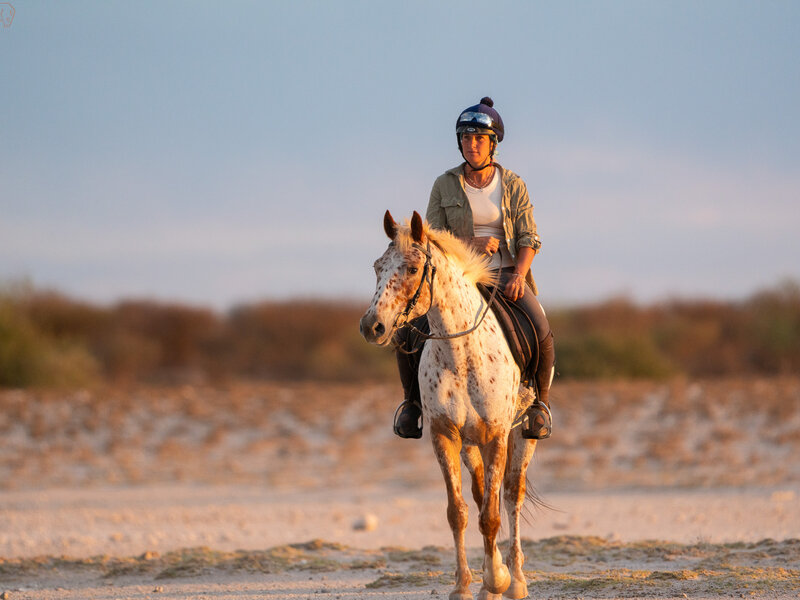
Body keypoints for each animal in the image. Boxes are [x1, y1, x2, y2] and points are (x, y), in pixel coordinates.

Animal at [360, 210, 539, 600]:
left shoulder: (498, 436)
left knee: (511, 495)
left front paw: (498, 580)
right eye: (378, 267)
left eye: (413, 268)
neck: (462, 355)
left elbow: (493, 514)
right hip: (471, 445)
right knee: (481, 493)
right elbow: (458, 512)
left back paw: (516, 579)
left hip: (523, 436)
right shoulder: (444, 436)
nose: (372, 326)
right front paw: (466, 586)